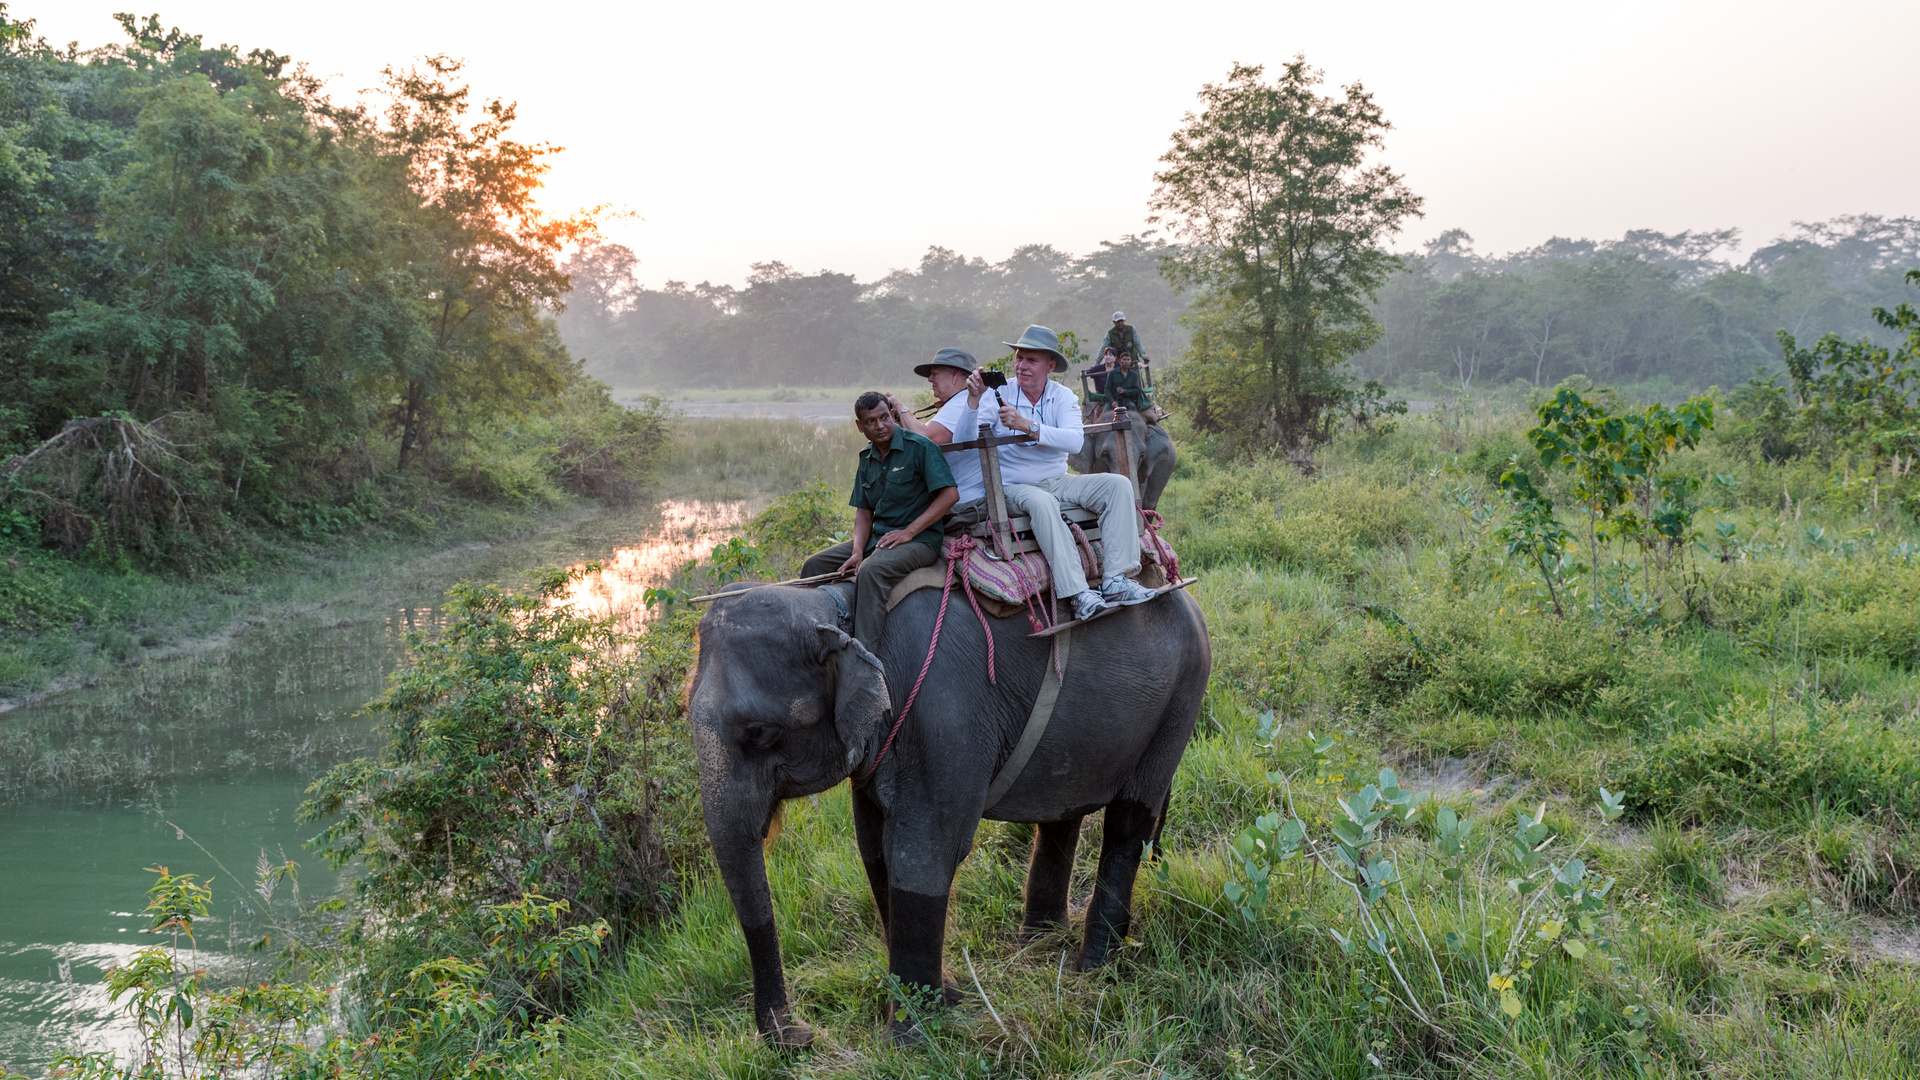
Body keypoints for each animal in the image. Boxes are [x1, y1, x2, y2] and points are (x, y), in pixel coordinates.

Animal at [683, 580, 1205, 1045]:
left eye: (759, 733)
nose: (801, 1036)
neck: (839, 606)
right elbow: (875, 852)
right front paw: (948, 1000)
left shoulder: (945, 713)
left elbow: (921, 853)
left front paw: (909, 1040)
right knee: (1063, 812)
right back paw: (1037, 941)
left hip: (1181, 695)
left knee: (1128, 823)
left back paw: (1093, 966)